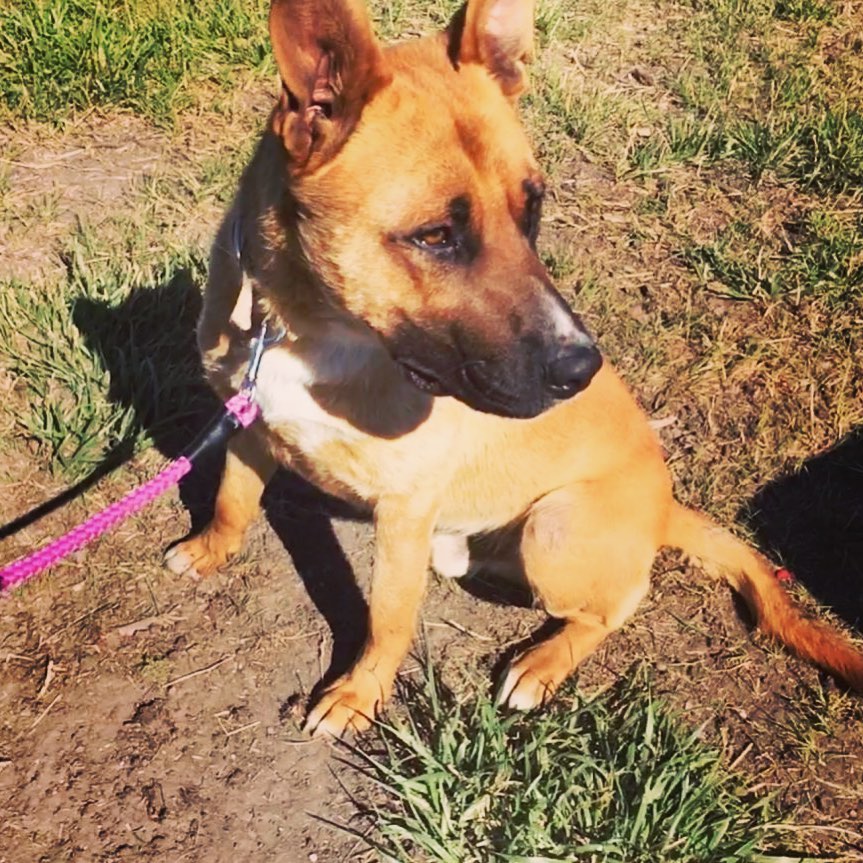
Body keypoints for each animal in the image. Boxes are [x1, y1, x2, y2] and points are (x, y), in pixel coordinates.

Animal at [165, 0, 863, 736]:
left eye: (532, 208)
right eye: (434, 236)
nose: (582, 368)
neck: (302, 324)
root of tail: (665, 507)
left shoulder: (403, 509)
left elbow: (386, 620)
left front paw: (359, 694)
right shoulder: (249, 420)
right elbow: (233, 496)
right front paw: (211, 548)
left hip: (551, 529)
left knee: (615, 604)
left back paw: (543, 663)